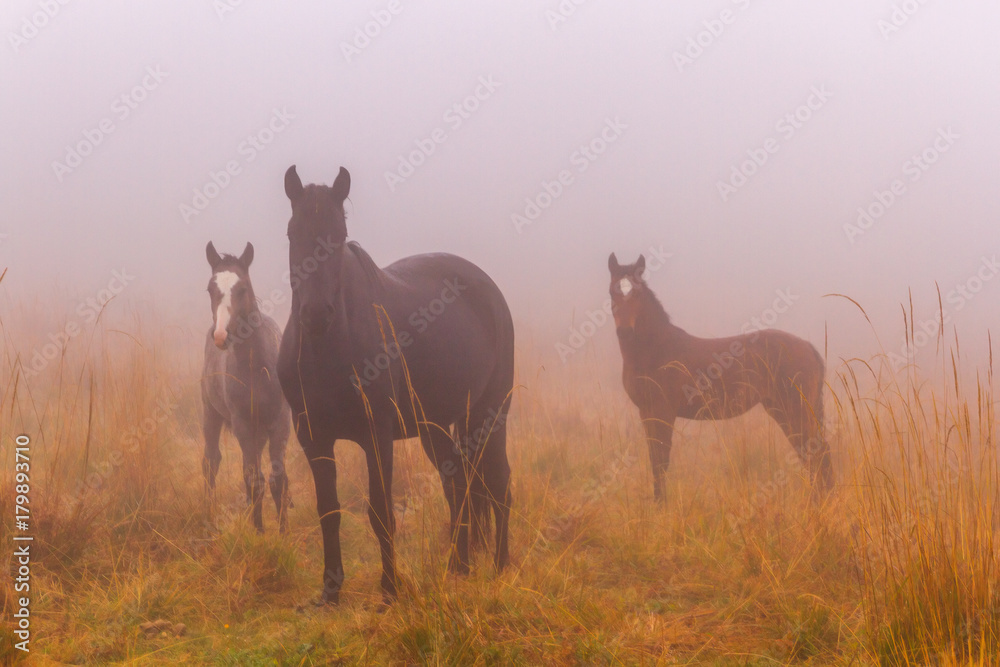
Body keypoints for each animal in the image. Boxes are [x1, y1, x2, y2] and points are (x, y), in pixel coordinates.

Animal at [201, 241, 292, 533]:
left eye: (242, 289)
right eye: (210, 289)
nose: (221, 336)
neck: (257, 370)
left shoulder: (280, 423)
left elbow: (278, 479)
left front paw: (283, 533)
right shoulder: (243, 426)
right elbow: (253, 479)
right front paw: (259, 532)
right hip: (211, 414)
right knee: (211, 462)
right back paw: (209, 514)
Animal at [276, 165, 514, 604]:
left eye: (339, 234)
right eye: (291, 232)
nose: (316, 314)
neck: (328, 350)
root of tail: (490, 290)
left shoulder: (377, 434)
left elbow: (380, 510)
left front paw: (390, 589)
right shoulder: (312, 436)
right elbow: (328, 510)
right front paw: (330, 590)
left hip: (490, 414)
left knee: (499, 485)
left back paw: (502, 567)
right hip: (434, 425)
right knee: (458, 483)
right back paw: (458, 567)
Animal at [607, 252, 833, 502]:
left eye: (637, 293)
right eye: (612, 292)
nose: (624, 331)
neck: (656, 349)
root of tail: (809, 348)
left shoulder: (662, 411)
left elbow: (660, 460)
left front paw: (660, 506)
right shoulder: (647, 412)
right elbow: (655, 459)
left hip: (796, 410)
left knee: (817, 453)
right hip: (783, 410)